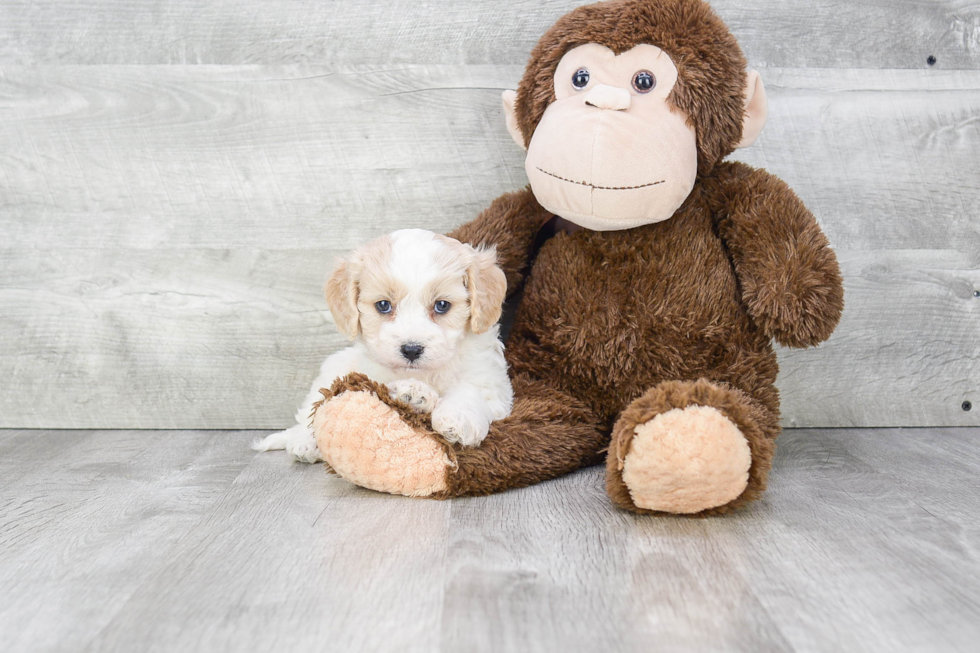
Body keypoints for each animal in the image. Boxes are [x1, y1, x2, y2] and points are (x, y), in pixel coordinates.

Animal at [253, 229, 512, 464]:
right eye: (383, 305)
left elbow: (470, 391)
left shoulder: (490, 381)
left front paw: (457, 419)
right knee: (310, 412)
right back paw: (305, 443)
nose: (411, 349)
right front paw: (413, 394)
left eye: (442, 305)